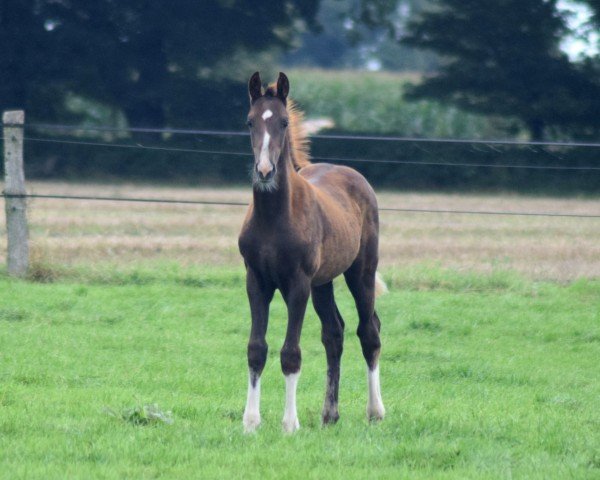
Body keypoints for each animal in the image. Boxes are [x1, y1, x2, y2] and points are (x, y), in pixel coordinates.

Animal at [237, 72, 386, 436]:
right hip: (324, 283)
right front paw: (250, 422)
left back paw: (375, 411)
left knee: (369, 331)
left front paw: (290, 424)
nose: (264, 171)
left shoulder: (298, 284)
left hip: (360, 272)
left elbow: (291, 353)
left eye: (284, 121)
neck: (275, 217)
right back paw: (329, 414)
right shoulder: (256, 281)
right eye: (249, 121)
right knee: (334, 333)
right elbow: (256, 348)